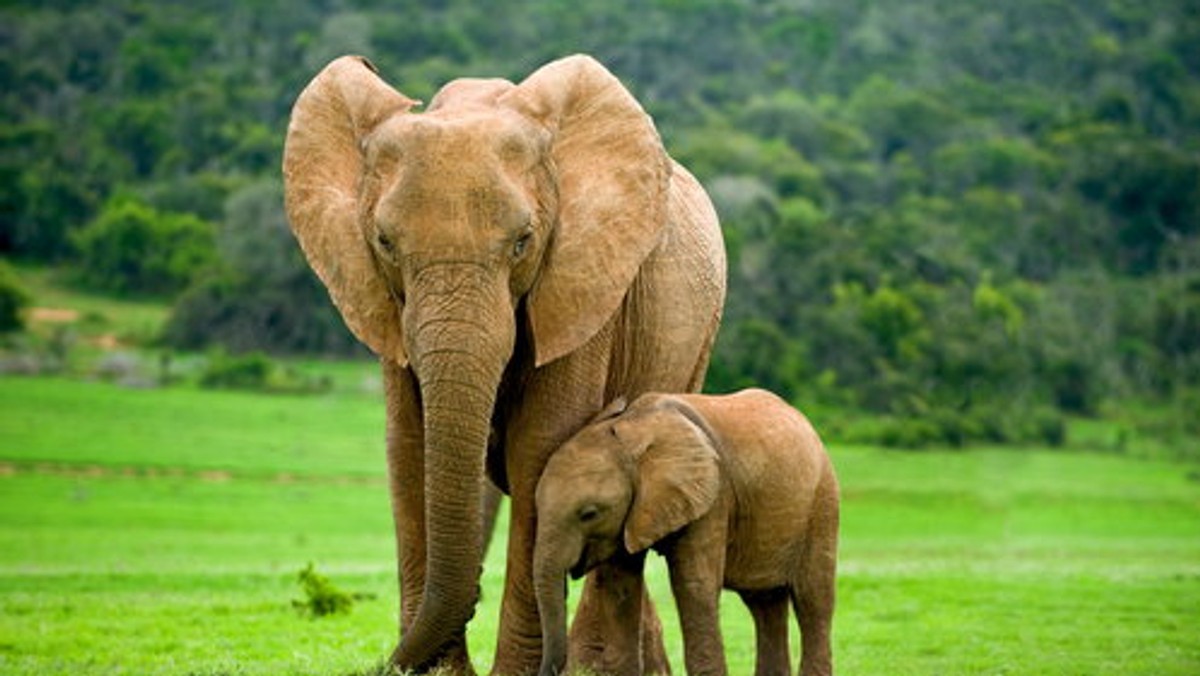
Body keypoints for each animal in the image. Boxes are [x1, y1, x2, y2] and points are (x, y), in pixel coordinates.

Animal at [285, 54, 724, 676]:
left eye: (523, 241)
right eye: (385, 242)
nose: (386, 663)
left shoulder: (581, 283)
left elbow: (541, 447)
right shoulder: (386, 305)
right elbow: (409, 447)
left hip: (697, 337)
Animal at [540, 389, 840, 672]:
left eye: (589, 514)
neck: (633, 425)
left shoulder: (712, 496)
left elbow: (694, 585)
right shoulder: (631, 516)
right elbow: (621, 586)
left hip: (822, 502)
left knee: (813, 599)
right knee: (765, 602)